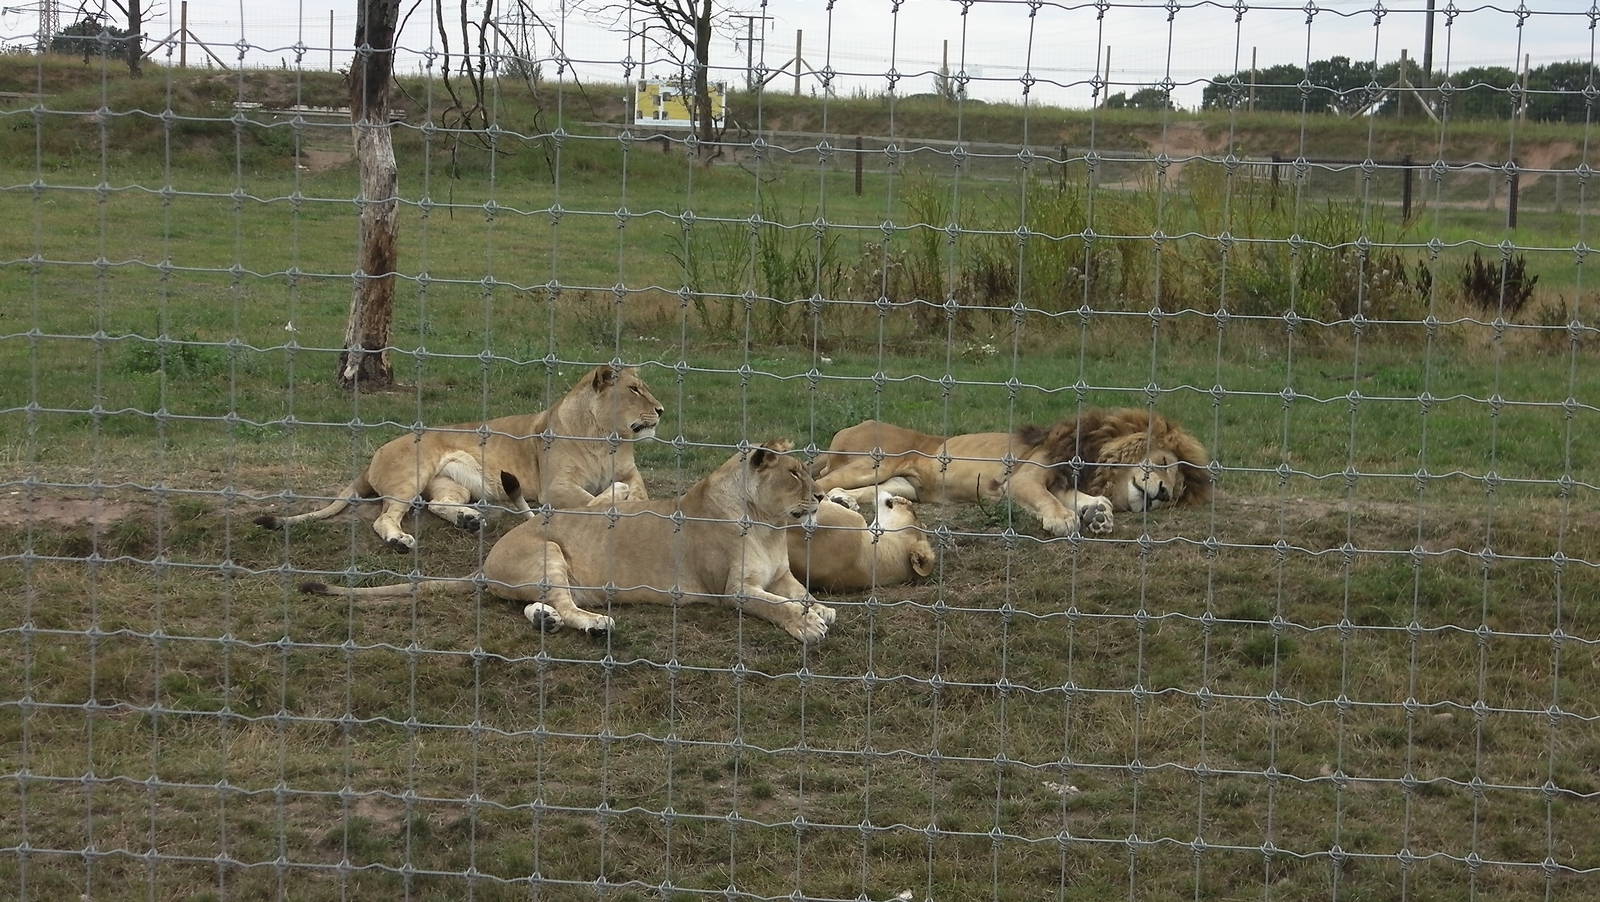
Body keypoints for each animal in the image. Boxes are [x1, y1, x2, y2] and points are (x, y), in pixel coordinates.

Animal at [255, 365, 664, 550]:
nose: (660, 410)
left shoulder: (633, 474)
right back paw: (400, 540)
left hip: (454, 485)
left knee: (436, 505)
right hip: (412, 474)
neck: (607, 439)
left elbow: (641, 492)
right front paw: (617, 500)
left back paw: (470, 520)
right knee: (385, 517)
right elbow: (594, 498)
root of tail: (373, 457)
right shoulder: (555, 486)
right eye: (634, 390)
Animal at [299, 441, 838, 644]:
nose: (818, 495)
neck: (768, 525)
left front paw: (822, 610)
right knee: (561, 598)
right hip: (549, 553)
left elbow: (801, 593)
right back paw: (593, 624)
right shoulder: (733, 590)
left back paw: (548, 620)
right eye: (795, 473)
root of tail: (486, 562)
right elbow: (773, 606)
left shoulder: (781, 575)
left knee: (535, 604)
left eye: (808, 471)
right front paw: (807, 625)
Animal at [813, 408, 1210, 536]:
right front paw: (1064, 520)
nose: (1162, 494)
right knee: (817, 480)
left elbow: (1077, 498)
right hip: (873, 462)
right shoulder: (1024, 477)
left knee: (852, 491)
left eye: (1175, 493)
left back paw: (843, 503)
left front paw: (1097, 513)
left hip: (901, 484)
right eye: (1163, 463)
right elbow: (1048, 500)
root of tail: (849, 427)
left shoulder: (1062, 481)